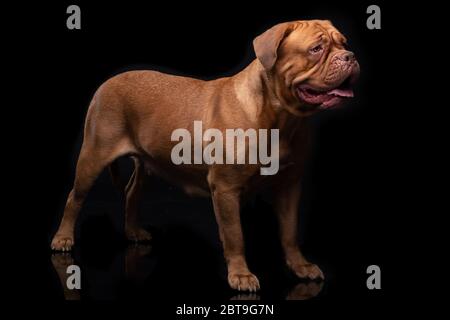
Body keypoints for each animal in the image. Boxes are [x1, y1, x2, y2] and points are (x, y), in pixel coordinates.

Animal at [52, 18, 360, 292]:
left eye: (344, 43)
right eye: (316, 49)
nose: (350, 56)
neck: (281, 118)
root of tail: (107, 83)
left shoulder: (289, 186)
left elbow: (289, 232)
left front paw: (300, 266)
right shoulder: (226, 188)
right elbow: (235, 235)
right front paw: (241, 275)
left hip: (147, 163)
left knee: (132, 192)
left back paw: (133, 232)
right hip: (93, 156)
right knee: (74, 198)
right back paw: (63, 238)